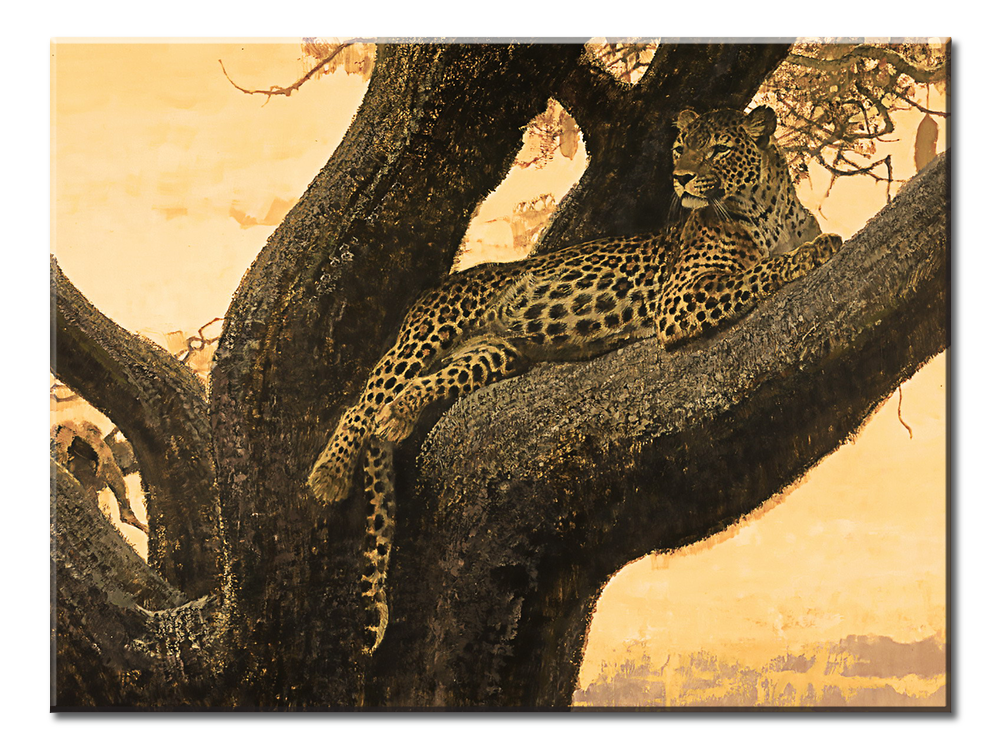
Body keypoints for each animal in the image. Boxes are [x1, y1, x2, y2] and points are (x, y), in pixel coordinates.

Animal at [307, 105, 842, 652]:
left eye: (718, 149)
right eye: (680, 148)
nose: (681, 177)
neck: (767, 212)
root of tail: (439, 288)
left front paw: (811, 245)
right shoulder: (681, 297)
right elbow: (758, 273)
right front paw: (815, 252)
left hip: (494, 351)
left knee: (410, 392)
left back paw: (399, 415)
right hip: (434, 327)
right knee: (362, 401)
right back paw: (329, 474)